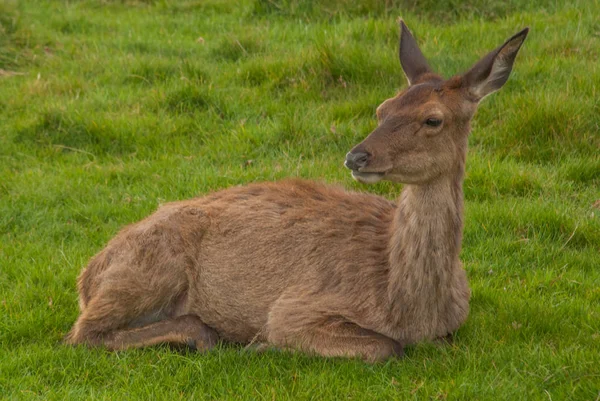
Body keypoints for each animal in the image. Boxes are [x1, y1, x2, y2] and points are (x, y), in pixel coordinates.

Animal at [63, 21, 528, 362]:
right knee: (81, 333)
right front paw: (264, 344)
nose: (356, 156)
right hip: (148, 269)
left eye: (433, 119)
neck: (411, 307)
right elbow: (385, 347)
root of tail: (88, 273)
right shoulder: (294, 308)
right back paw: (208, 335)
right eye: (382, 108)